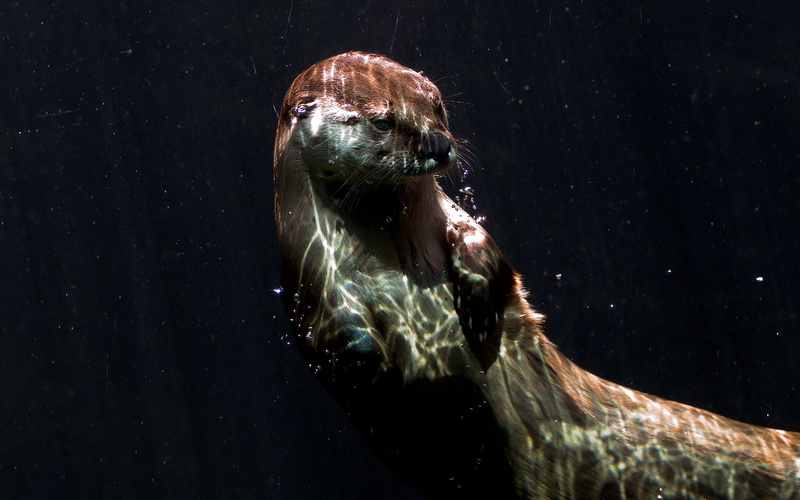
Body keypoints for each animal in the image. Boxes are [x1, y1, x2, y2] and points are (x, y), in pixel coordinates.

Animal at [273, 51, 800, 499]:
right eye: (382, 121)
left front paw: (478, 309)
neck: (389, 251)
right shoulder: (310, 274)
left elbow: (485, 250)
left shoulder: (449, 218)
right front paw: (370, 357)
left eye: (437, 104)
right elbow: (332, 332)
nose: (439, 143)